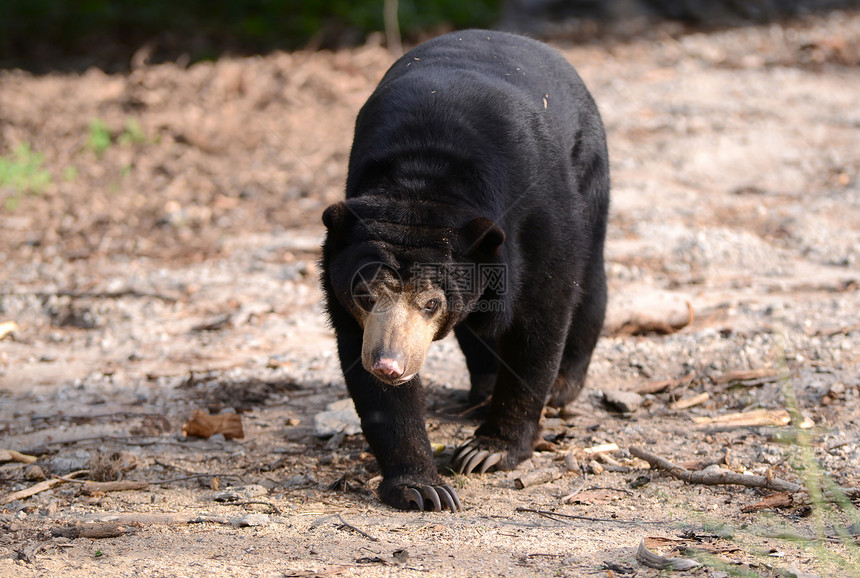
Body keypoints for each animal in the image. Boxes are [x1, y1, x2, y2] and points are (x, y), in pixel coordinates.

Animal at [320, 29, 608, 510]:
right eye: (365, 294)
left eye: (432, 303)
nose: (389, 365)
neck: (422, 181)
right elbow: (366, 372)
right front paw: (423, 488)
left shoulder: (538, 212)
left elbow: (541, 316)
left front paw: (487, 452)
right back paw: (481, 388)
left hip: (591, 172)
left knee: (590, 281)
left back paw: (563, 388)